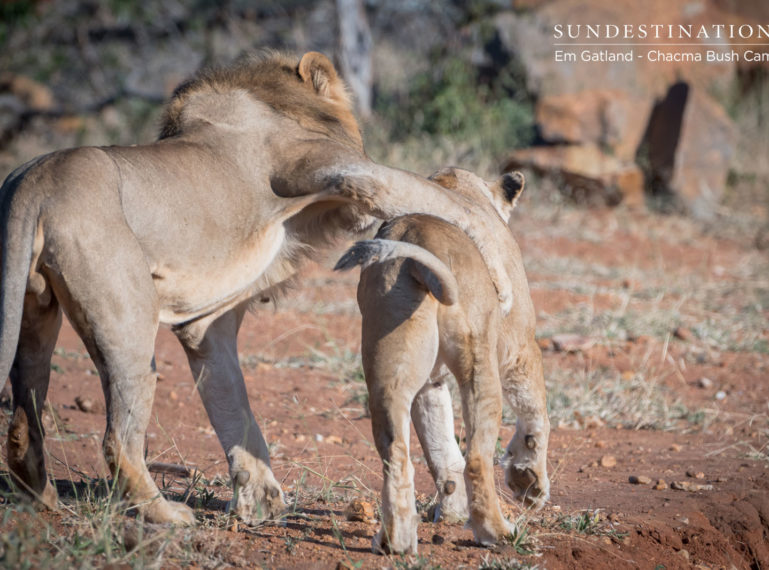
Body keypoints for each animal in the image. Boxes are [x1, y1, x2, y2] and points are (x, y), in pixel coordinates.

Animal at [0, 53, 520, 524]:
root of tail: (34, 181)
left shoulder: (206, 327)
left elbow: (231, 405)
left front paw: (261, 498)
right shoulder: (344, 169)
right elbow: (449, 201)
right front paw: (503, 269)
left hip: (33, 313)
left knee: (24, 419)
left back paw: (44, 501)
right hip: (126, 324)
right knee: (117, 441)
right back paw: (167, 516)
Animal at [336, 168, 544, 552]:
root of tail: (416, 246)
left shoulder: (431, 381)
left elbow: (440, 447)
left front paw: (450, 510)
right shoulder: (521, 346)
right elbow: (535, 413)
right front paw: (530, 481)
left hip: (391, 358)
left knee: (397, 452)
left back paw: (396, 540)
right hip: (480, 359)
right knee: (476, 457)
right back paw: (497, 532)